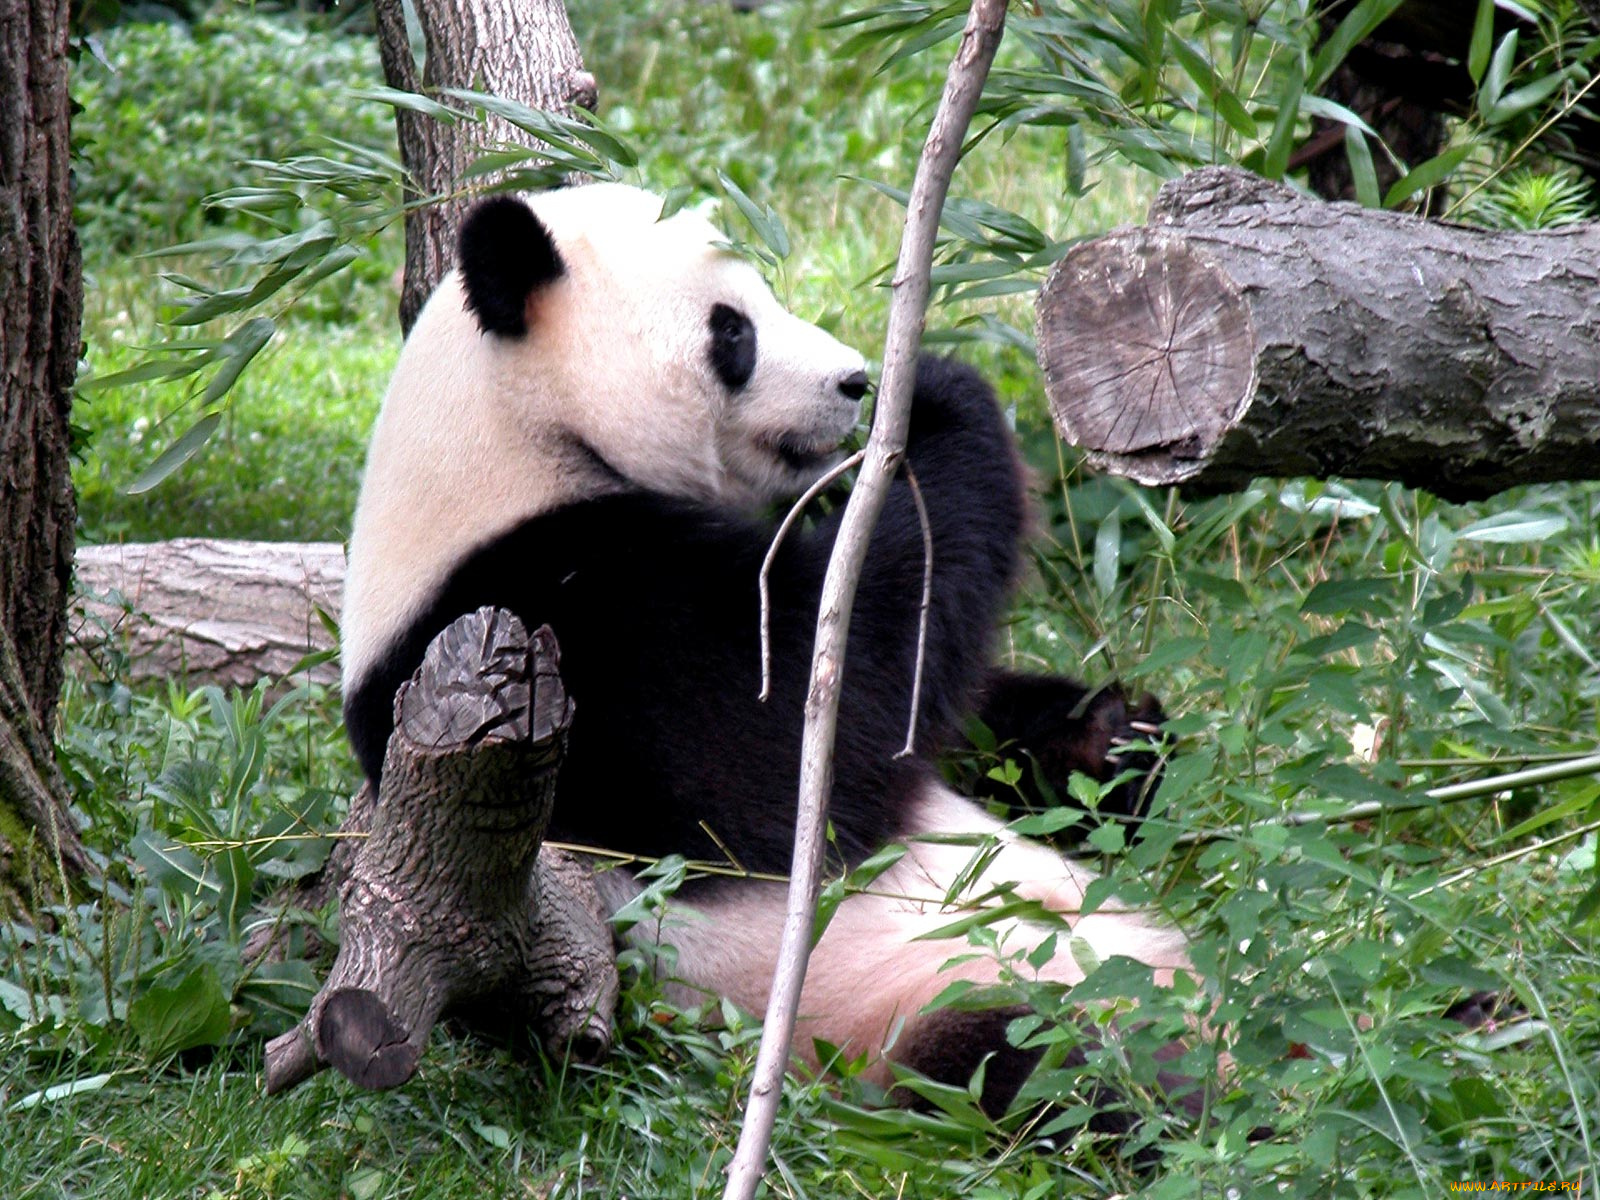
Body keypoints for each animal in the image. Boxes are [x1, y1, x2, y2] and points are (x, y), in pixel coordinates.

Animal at [341, 182, 1192, 1125]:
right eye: (733, 331)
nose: (853, 381)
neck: (505, 442)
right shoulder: (554, 624)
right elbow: (813, 728)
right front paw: (938, 396)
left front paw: (1110, 738)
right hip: (920, 1003)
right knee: (1039, 1068)